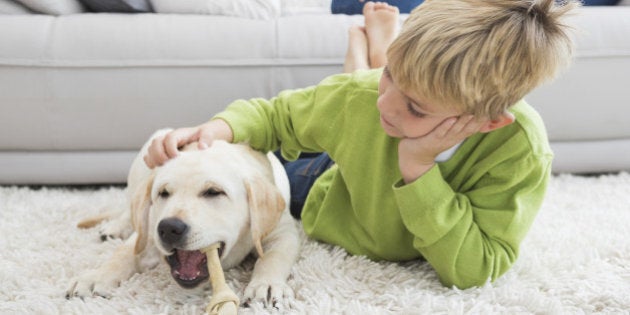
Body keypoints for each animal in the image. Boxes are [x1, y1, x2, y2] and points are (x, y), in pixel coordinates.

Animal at [66, 129, 302, 306]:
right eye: (163, 193)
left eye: (213, 192)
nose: (169, 228)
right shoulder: (148, 228)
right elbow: (122, 253)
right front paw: (96, 277)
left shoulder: (282, 232)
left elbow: (273, 257)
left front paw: (267, 284)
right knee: (131, 207)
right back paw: (115, 227)